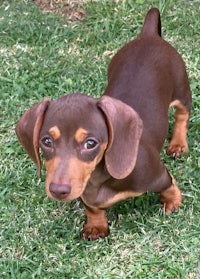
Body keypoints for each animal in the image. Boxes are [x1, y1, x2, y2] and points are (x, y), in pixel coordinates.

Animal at [16, 7, 192, 242]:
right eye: (46, 141)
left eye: (91, 143)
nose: (58, 190)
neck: (99, 179)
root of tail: (149, 35)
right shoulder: (86, 193)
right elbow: (92, 207)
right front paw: (96, 226)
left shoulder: (156, 175)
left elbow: (169, 184)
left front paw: (172, 202)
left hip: (181, 89)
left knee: (183, 114)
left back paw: (178, 144)